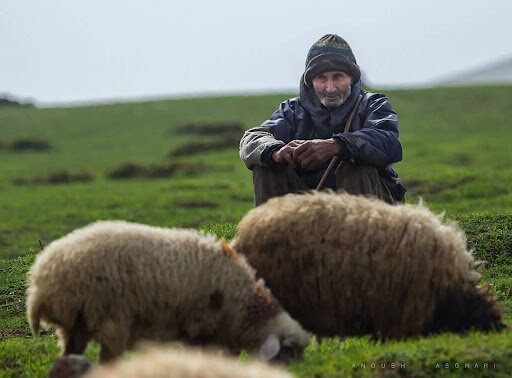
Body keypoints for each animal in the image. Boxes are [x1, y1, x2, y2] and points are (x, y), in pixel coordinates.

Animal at [26, 221, 308, 364]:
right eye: (290, 351)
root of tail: (42, 277)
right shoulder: (200, 323)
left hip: (76, 323)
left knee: (69, 355)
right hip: (109, 316)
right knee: (108, 357)